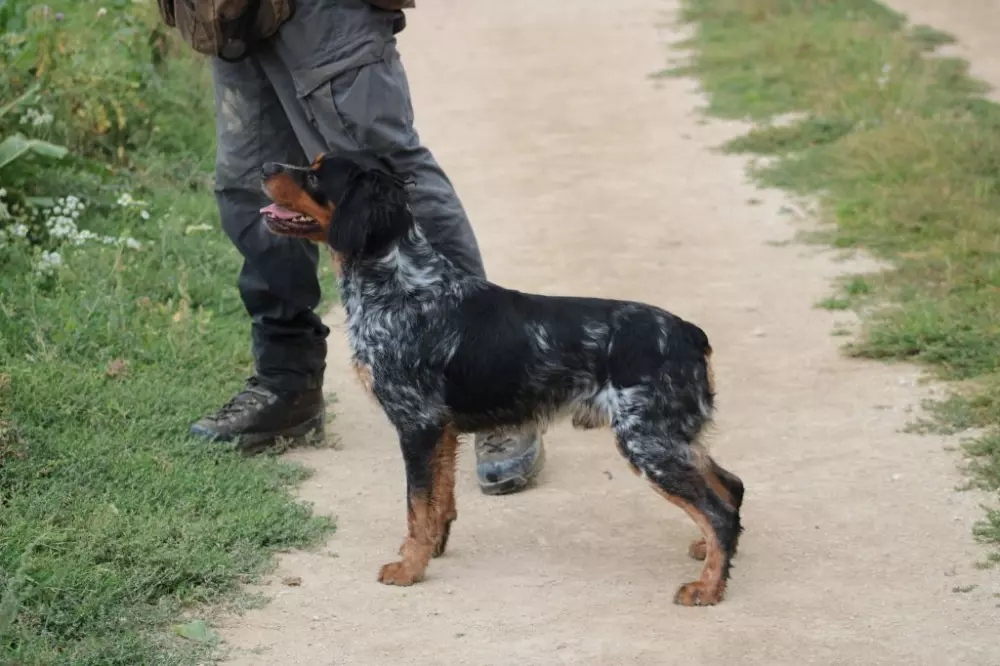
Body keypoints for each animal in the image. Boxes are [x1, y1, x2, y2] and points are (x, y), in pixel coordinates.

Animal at [262, 149, 748, 600]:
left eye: (315, 174)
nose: (266, 166)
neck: (400, 285)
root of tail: (688, 333)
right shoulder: (440, 429)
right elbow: (438, 502)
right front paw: (430, 549)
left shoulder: (417, 423)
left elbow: (416, 506)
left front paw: (409, 567)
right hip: (669, 438)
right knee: (731, 488)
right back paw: (708, 553)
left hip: (647, 442)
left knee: (719, 510)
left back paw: (708, 587)